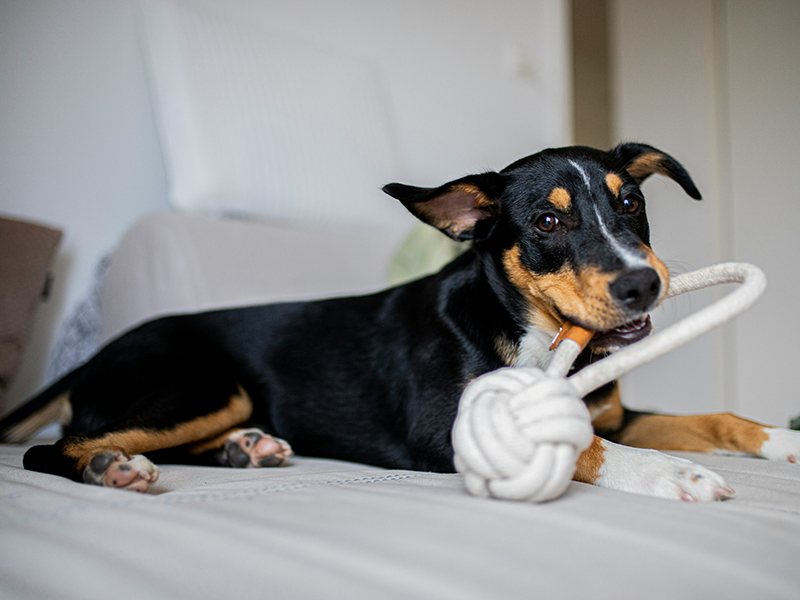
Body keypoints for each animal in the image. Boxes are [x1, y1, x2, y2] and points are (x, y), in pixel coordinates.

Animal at [3, 143, 796, 500]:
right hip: (202, 386)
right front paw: (673, 475)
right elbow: (583, 446)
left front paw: (782, 443)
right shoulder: (447, 430)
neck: (529, 333)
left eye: (631, 203)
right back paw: (111, 465)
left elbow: (714, 418)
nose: (643, 283)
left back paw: (245, 450)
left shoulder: (616, 411)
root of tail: (96, 355)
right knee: (55, 447)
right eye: (546, 222)